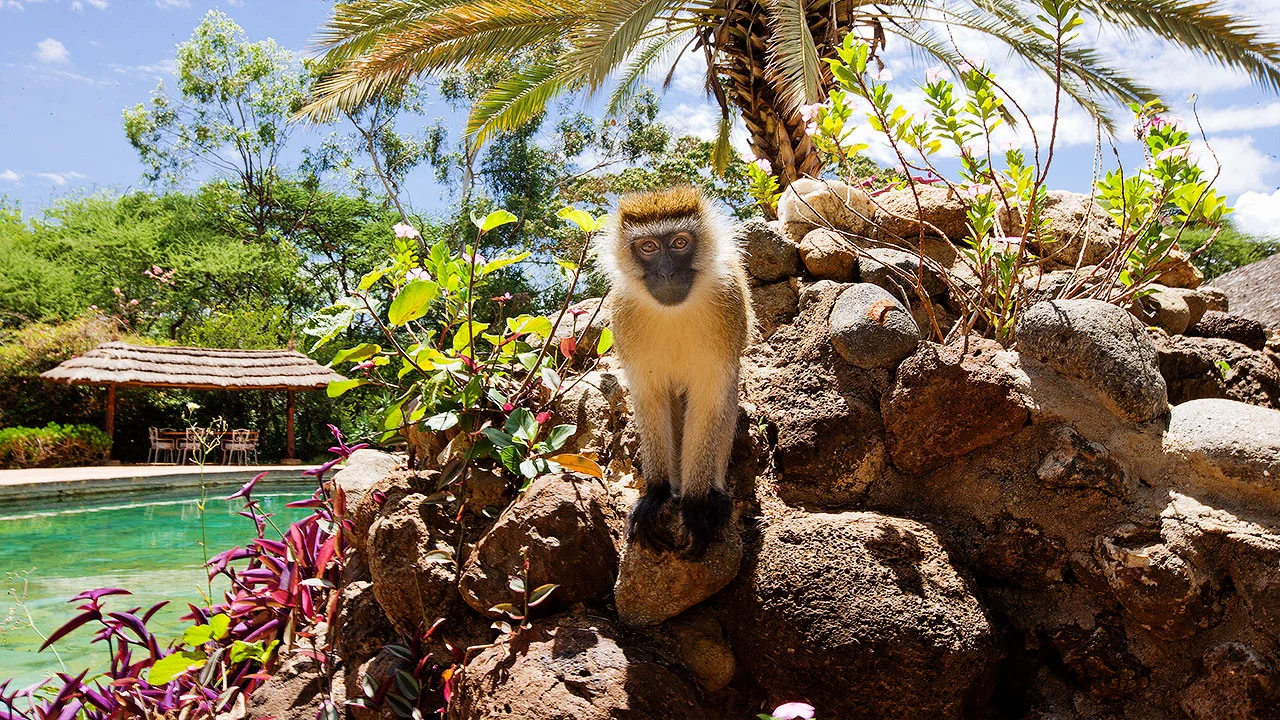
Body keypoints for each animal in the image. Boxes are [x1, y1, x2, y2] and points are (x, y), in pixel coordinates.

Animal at [595, 185, 754, 557]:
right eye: (648, 247)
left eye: (680, 243)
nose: (667, 273)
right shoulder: (623, 313)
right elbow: (650, 398)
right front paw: (656, 494)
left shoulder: (728, 302)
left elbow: (709, 402)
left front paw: (695, 506)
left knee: (726, 397)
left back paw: (714, 495)